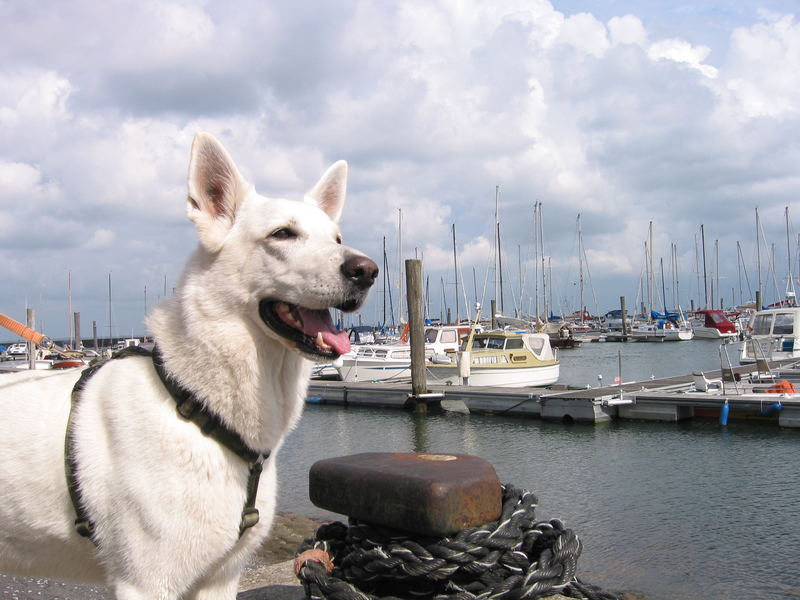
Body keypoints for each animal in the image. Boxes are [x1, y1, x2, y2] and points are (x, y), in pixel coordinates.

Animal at [0, 134, 378, 596]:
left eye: (338, 237)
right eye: (283, 233)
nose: (367, 271)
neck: (192, 403)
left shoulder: (220, 578)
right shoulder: (145, 583)